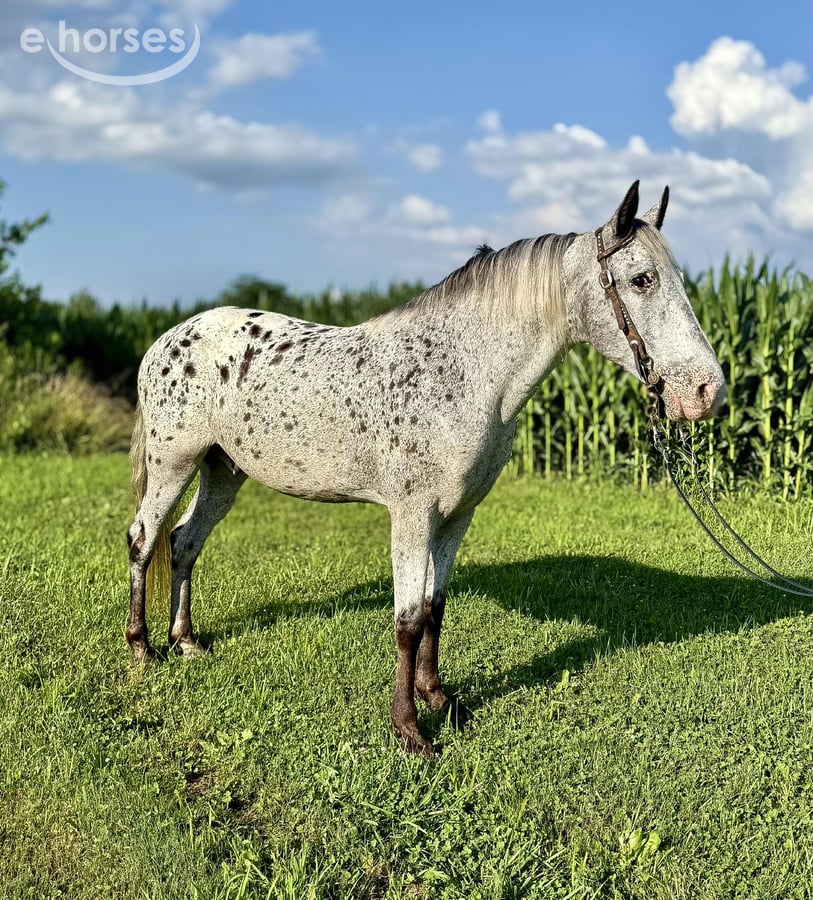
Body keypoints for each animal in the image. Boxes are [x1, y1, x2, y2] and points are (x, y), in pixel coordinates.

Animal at [127, 181, 725, 758]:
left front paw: (440, 699)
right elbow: (408, 620)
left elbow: (436, 607)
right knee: (143, 538)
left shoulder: (457, 516)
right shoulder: (412, 516)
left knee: (184, 542)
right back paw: (143, 648)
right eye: (642, 279)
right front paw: (411, 731)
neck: (463, 372)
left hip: (222, 471)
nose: (707, 391)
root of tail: (169, 338)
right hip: (173, 465)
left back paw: (186, 642)